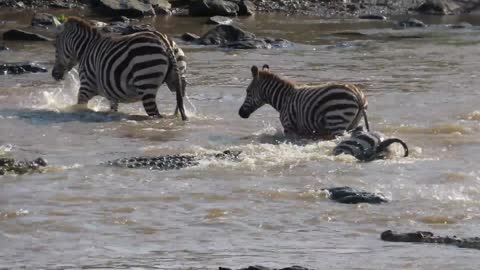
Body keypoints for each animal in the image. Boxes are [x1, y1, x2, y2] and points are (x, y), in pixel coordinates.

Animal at [52, 16, 188, 120]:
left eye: (55, 45)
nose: (54, 74)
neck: (86, 48)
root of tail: (164, 41)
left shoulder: (86, 86)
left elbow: (80, 106)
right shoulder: (112, 93)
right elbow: (113, 109)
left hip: (146, 81)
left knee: (155, 114)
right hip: (176, 78)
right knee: (179, 100)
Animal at [239, 64, 368, 138]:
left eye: (248, 91)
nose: (240, 113)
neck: (284, 99)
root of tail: (358, 94)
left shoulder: (289, 127)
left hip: (337, 120)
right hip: (351, 123)